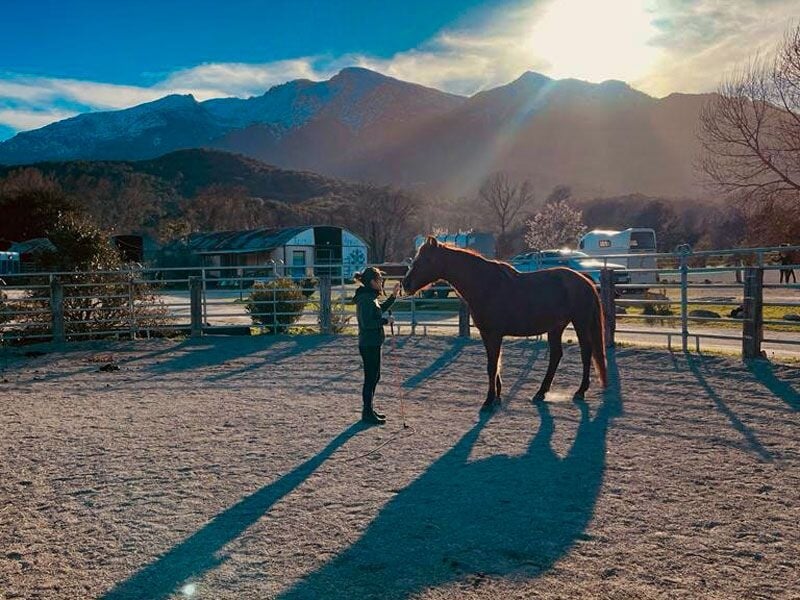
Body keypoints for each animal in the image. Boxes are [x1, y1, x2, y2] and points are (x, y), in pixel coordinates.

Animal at [401, 236, 607, 410]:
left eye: (426, 260)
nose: (405, 284)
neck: (485, 285)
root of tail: (585, 280)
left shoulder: (494, 334)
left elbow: (492, 366)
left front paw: (489, 400)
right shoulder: (486, 334)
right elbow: (494, 364)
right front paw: (497, 396)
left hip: (580, 323)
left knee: (586, 353)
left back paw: (580, 391)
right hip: (556, 327)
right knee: (556, 355)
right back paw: (541, 392)